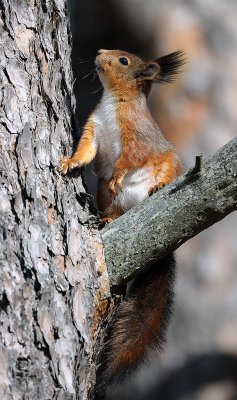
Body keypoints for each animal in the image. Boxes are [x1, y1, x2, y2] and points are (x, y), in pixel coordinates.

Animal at [59, 48, 185, 398]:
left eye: (124, 60)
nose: (100, 52)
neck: (113, 102)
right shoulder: (93, 129)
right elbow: (86, 151)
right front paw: (70, 162)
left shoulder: (137, 137)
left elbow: (130, 157)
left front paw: (118, 172)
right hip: (106, 196)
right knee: (113, 206)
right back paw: (107, 218)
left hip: (170, 163)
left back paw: (157, 188)